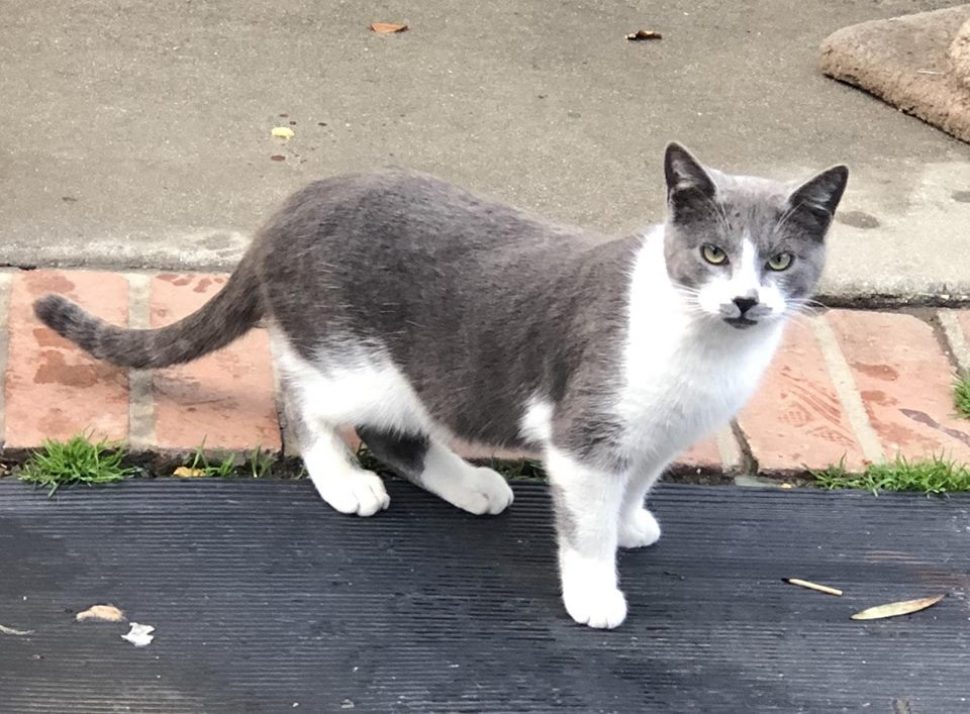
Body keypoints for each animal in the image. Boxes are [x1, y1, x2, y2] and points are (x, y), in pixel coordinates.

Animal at [34, 145, 844, 628]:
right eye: (713, 254)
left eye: (779, 261)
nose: (746, 301)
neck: (705, 352)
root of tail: (287, 209)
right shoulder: (584, 437)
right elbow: (582, 526)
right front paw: (594, 588)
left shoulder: (654, 438)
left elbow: (635, 486)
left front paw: (629, 521)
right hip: (356, 361)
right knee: (308, 401)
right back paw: (344, 480)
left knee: (396, 431)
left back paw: (474, 485)